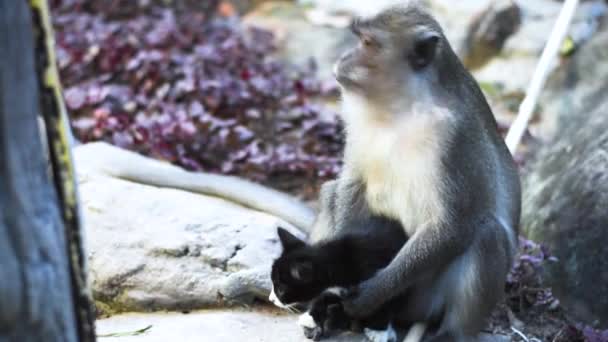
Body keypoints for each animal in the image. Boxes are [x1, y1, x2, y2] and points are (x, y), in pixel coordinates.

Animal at [268, 223, 406, 340]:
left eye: (280, 289)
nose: (271, 299)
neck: (338, 262)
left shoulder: (380, 273)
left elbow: (385, 296)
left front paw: (379, 332)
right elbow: (324, 296)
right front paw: (311, 318)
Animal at [306, 3, 520, 342]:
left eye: (367, 43)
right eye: (359, 38)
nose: (343, 58)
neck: (400, 106)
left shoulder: (454, 136)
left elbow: (452, 223)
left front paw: (370, 293)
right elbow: (352, 184)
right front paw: (334, 286)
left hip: (422, 298)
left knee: (487, 234)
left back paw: (452, 332)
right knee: (331, 193)